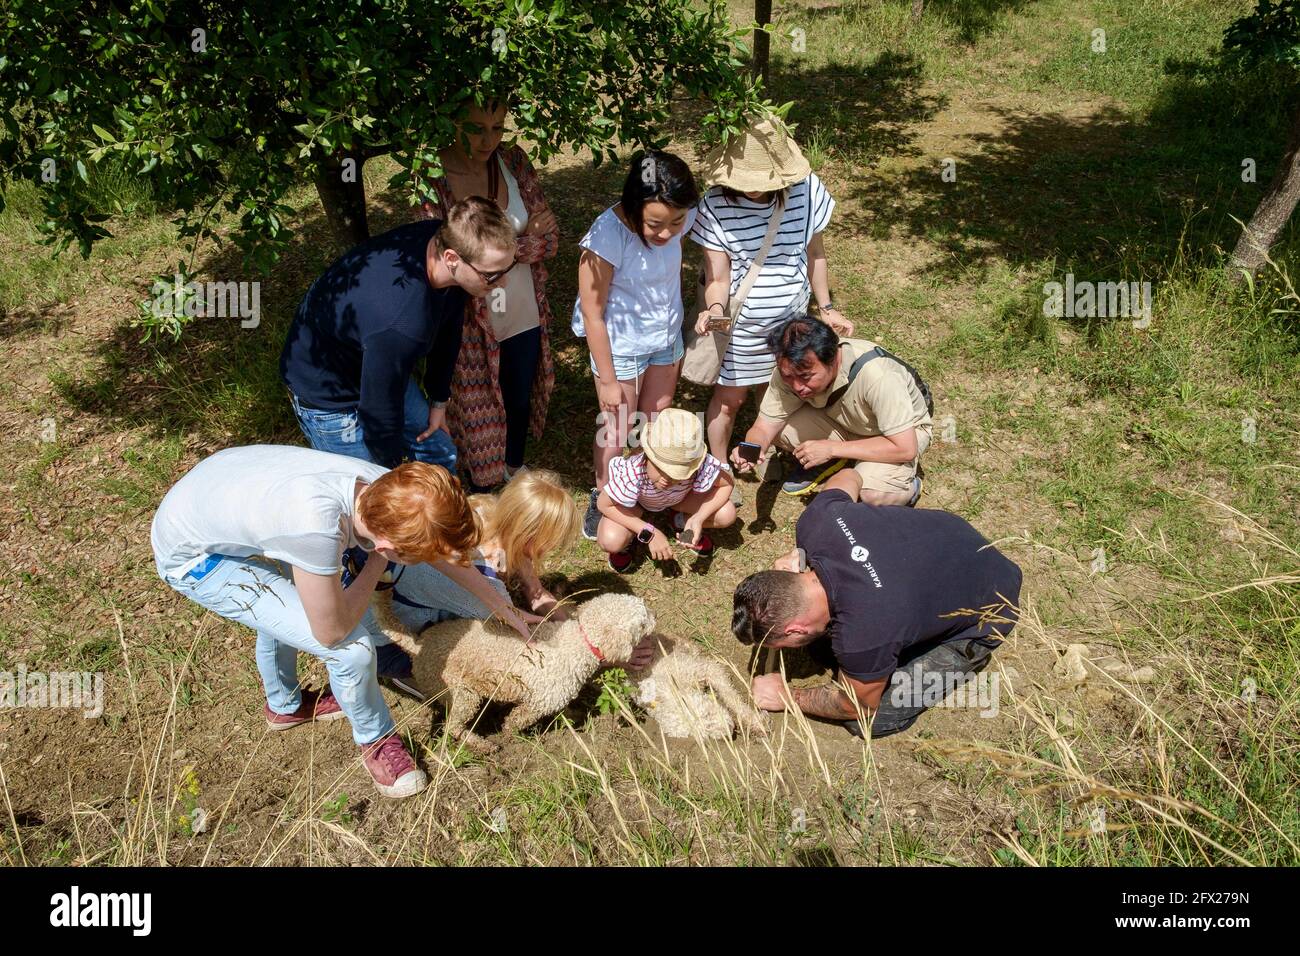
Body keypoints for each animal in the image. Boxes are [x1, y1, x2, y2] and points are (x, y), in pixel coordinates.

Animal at [374, 590, 655, 754]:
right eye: (642, 621)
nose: (655, 619)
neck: (577, 640)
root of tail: (417, 644)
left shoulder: (554, 694)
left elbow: (564, 709)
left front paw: (572, 714)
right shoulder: (537, 703)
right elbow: (516, 720)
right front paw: (514, 735)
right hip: (463, 694)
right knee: (453, 726)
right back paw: (481, 744)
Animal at [634, 634, 764, 738]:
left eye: (707, 714)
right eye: (703, 733)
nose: (729, 731)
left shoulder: (706, 669)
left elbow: (731, 696)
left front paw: (756, 722)